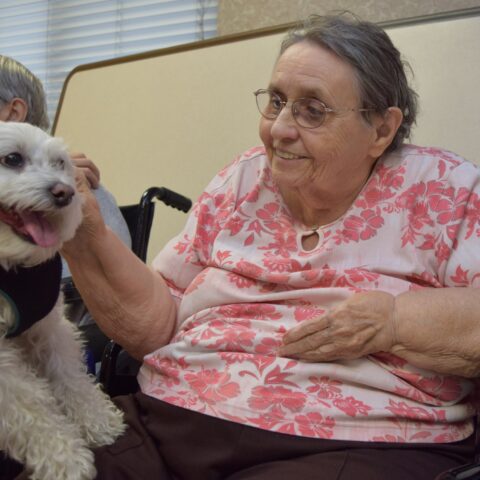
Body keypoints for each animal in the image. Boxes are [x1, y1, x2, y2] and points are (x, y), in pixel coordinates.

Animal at [0, 124, 125, 480]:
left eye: (59, 163)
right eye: (12, 159)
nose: (65, 193)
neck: (12, 265)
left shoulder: (51, 329)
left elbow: (72, 379)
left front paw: (98, 421)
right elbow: (29, 409)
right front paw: (64, 457)